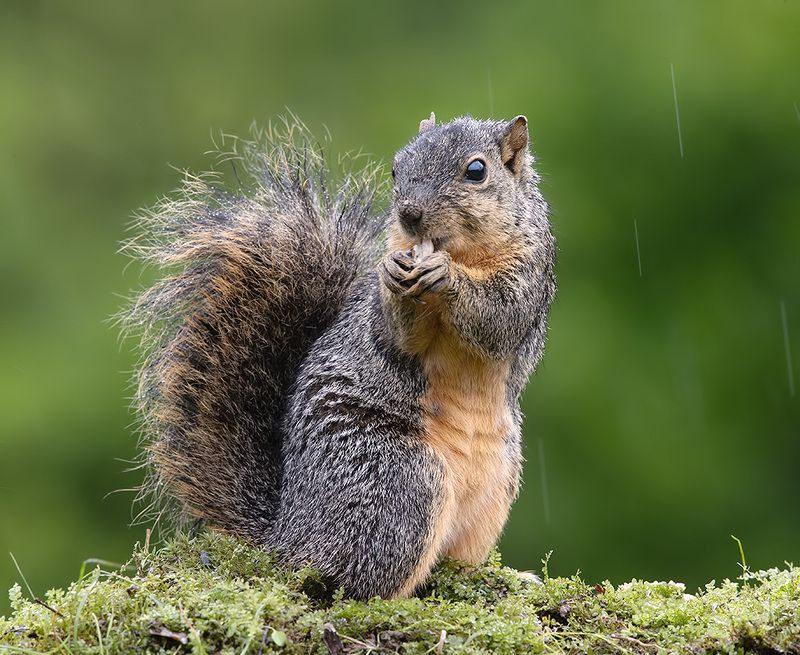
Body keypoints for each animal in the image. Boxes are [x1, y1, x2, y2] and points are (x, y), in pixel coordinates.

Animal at [125, 113, 556, 600]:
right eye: (395, 168)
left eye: (477, 171)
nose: (409, 215)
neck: (461, 253)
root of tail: (288, 533)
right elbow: (396, 335)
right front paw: (393, 276)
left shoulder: (532, 272)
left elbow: (500, 316)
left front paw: (446, 276)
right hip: (397, 478)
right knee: (352, 577)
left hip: (487, 485)